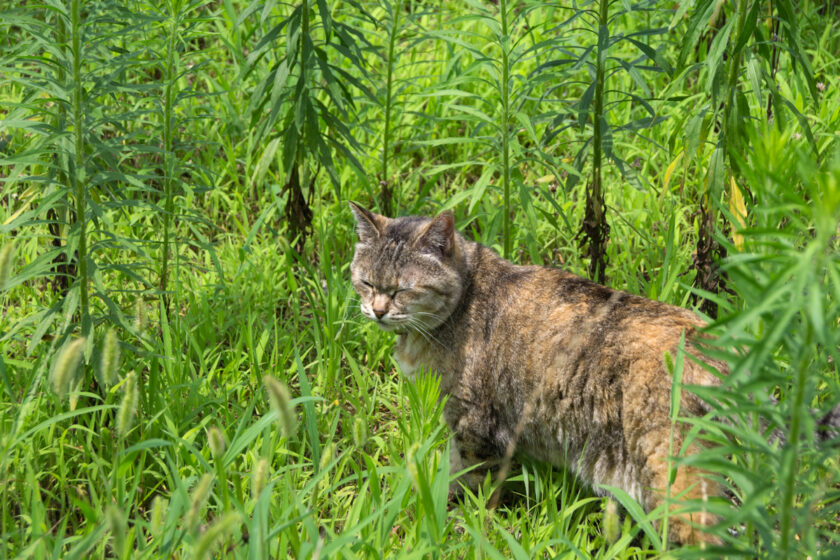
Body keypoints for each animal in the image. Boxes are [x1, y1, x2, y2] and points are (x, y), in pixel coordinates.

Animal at [348, 201, 728, 544]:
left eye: (403, 289)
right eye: (366, 282)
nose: (377, 310)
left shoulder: (475, 427)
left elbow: (474, 485)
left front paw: (462, 524)